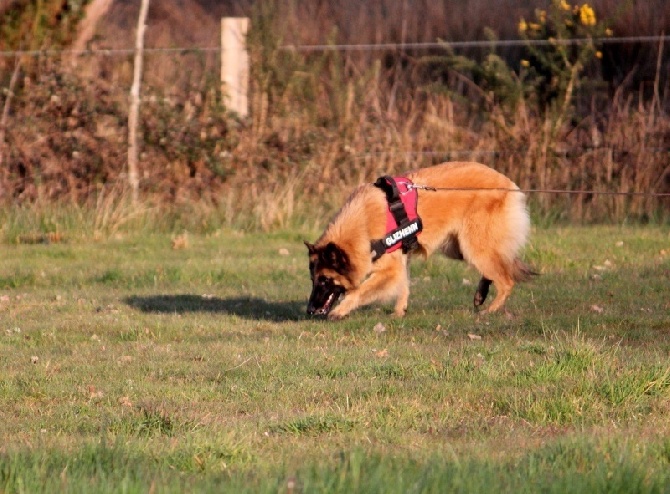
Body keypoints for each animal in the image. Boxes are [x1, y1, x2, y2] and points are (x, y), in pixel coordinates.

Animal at [308, 160, 540, 318]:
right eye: (313, 280)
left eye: (324, 280)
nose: (310, 310)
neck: (362, 224)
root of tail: (509, 184)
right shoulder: (402, 259)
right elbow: (403, 286)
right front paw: (399, 312)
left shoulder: (390, 269)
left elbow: (359, 291)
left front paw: (340, 310)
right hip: (459, 248)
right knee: (497, 269)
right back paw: (481, 295)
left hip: (473, 245)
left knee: (506, 280)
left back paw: (490, 310)